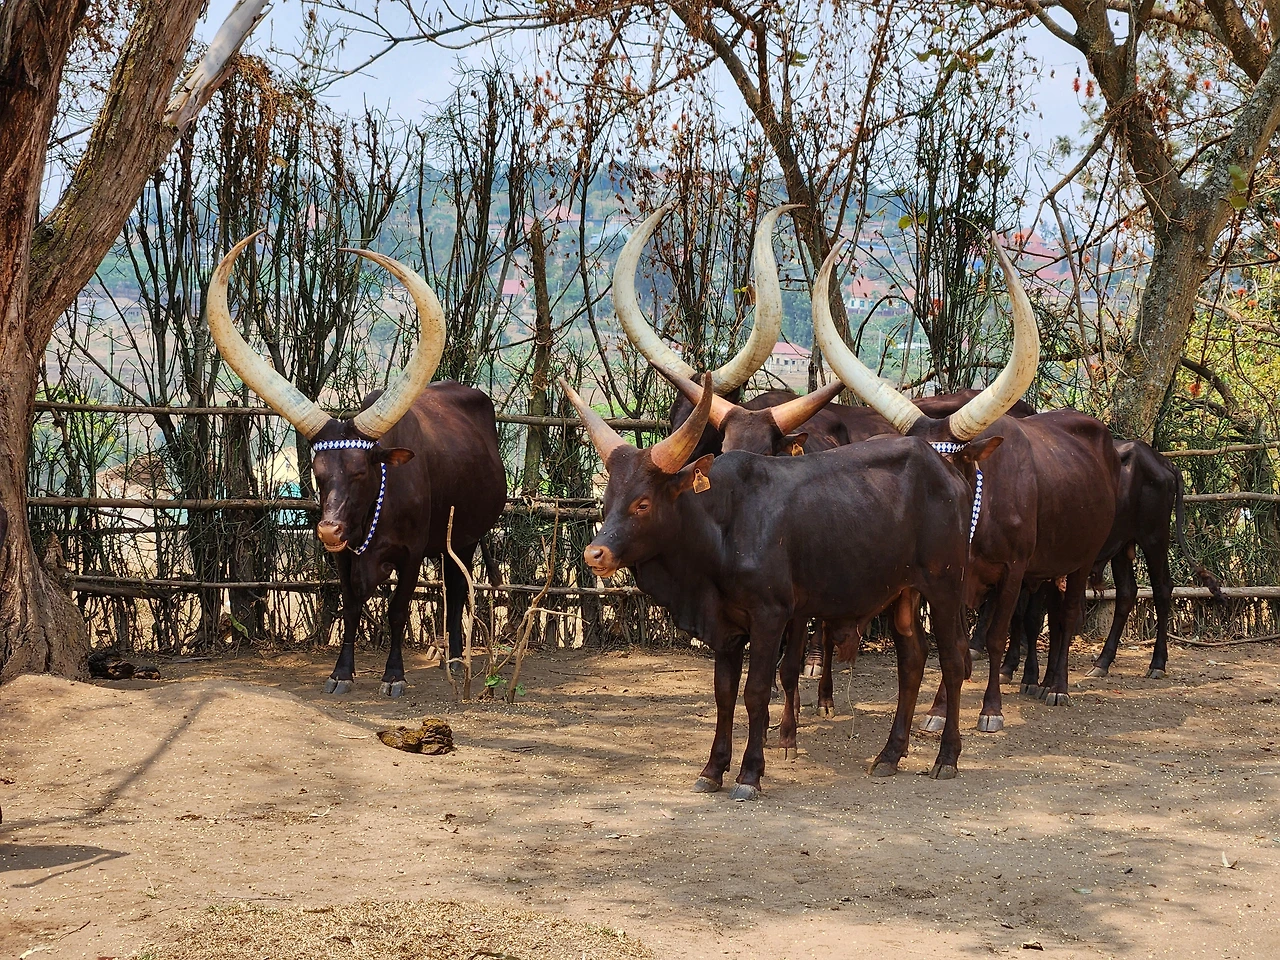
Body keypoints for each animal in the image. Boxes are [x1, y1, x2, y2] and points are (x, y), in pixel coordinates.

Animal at [208, 234, 505, 696]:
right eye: (317, 472)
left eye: (362, 472)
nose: (329, 530)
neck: (374, 511)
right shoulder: (344, 560)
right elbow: (348, 609)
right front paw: (341, 673)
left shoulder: (411, 553)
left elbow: (398, 611)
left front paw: (394, 676)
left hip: (468, 536)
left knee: (457, 587)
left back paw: (457, 659)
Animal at [565, 371, 996, 797]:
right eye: (608, 500)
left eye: (643, 503)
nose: (595, 554)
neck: (724, 524)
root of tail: (949, 471)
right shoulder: (726, 626)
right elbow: (724, 693)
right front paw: (713, 769)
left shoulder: (770, 616)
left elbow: (755, 691)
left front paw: (749, 774)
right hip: (901, 591)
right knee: (913, 658)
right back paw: (890, 754)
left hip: (944, 585)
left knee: (953, 660)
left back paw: (947, 757)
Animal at [813, 234, 1121, 728]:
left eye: (949, 471)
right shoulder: (952, 576)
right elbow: (953, 644)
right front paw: (939, 710)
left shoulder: (1013, 569)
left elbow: (993, 637)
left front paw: (991, 710)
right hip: (1043, 567)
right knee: (1042, 615)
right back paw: (1032, 681)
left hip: (1081, 557)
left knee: (1067, 614)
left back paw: (1056, 686)